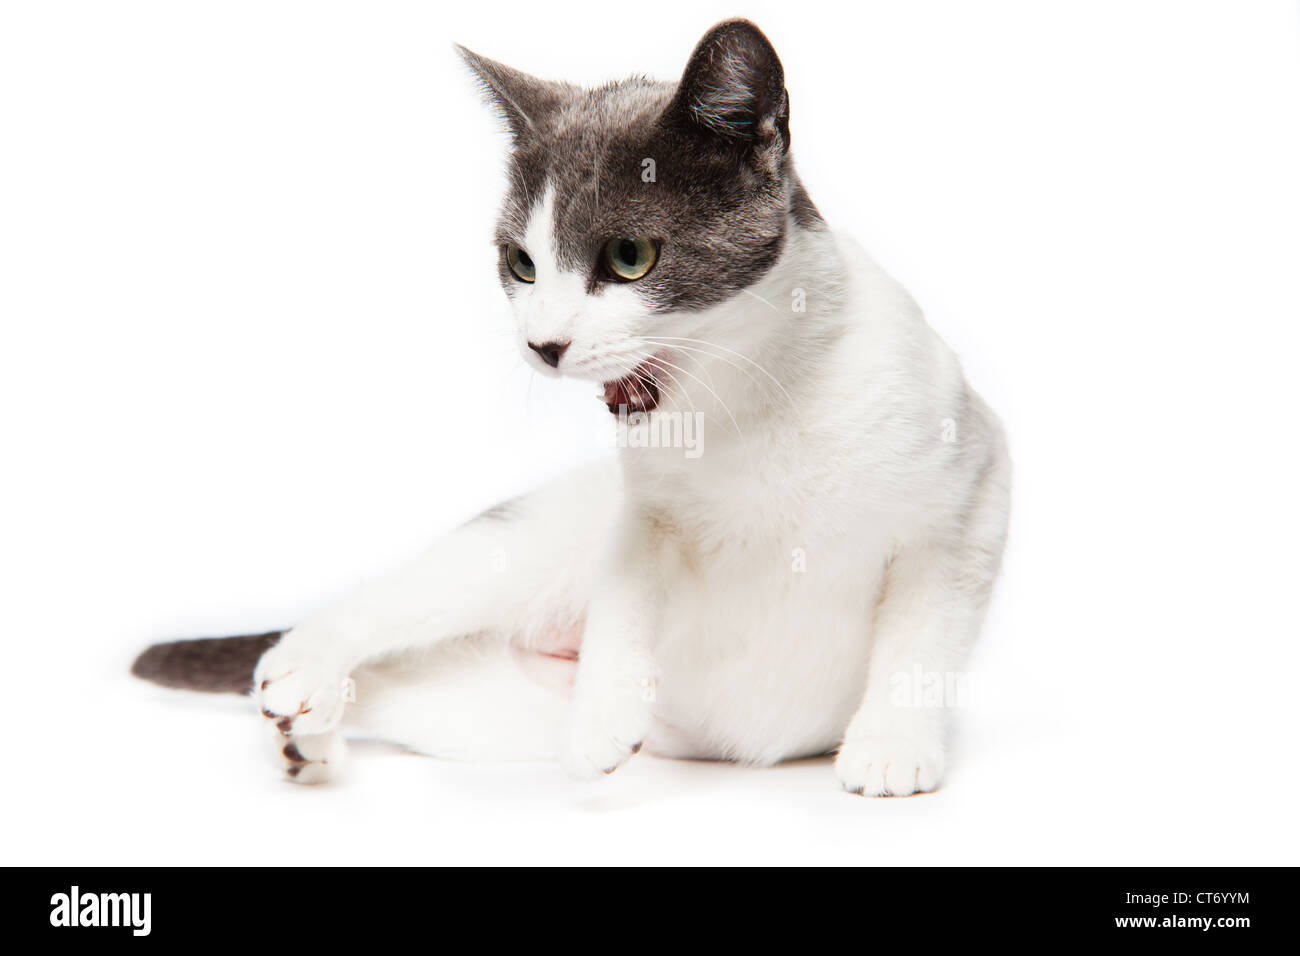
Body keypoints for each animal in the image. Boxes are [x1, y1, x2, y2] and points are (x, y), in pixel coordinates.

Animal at [131, 18, 1008, 796]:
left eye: (629, 257)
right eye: (520, 263)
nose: (542, 343)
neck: (753, 403)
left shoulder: (968, 500)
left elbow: (923, 638)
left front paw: (892, 749)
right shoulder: (642, 507)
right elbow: (624, 594)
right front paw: (603, 717)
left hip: (491, 715)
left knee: (410, 683)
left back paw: (309, 738)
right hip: (519, 555)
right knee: (394, 610)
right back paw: (299, 679)